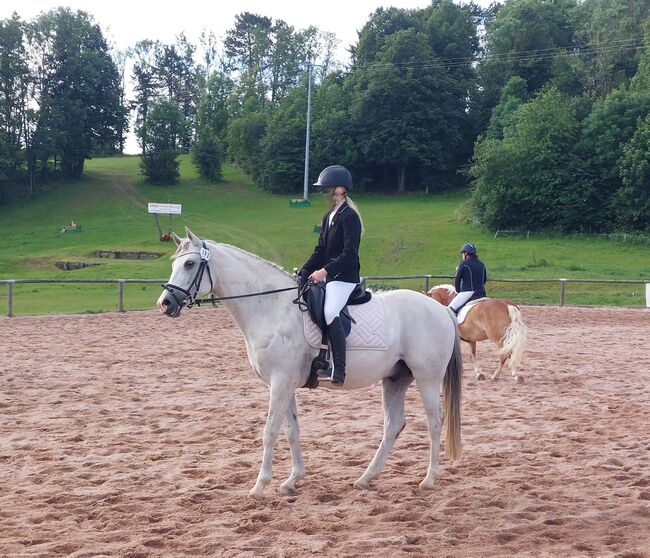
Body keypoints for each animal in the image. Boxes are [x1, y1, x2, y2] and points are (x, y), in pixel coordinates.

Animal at [157, 230, 460, 500]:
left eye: (189, 264)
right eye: (174, 264)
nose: (165, 303)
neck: (271, 308)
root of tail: (441, 309)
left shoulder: (279, 382)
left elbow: (270, 431)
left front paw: (259, 487)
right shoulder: (285, 384)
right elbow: (291, 431)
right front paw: (292, 480)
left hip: (427, 378)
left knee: (434, 422)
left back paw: (429, 479)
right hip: (395, 379)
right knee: (393, 425)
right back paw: (366, 478)